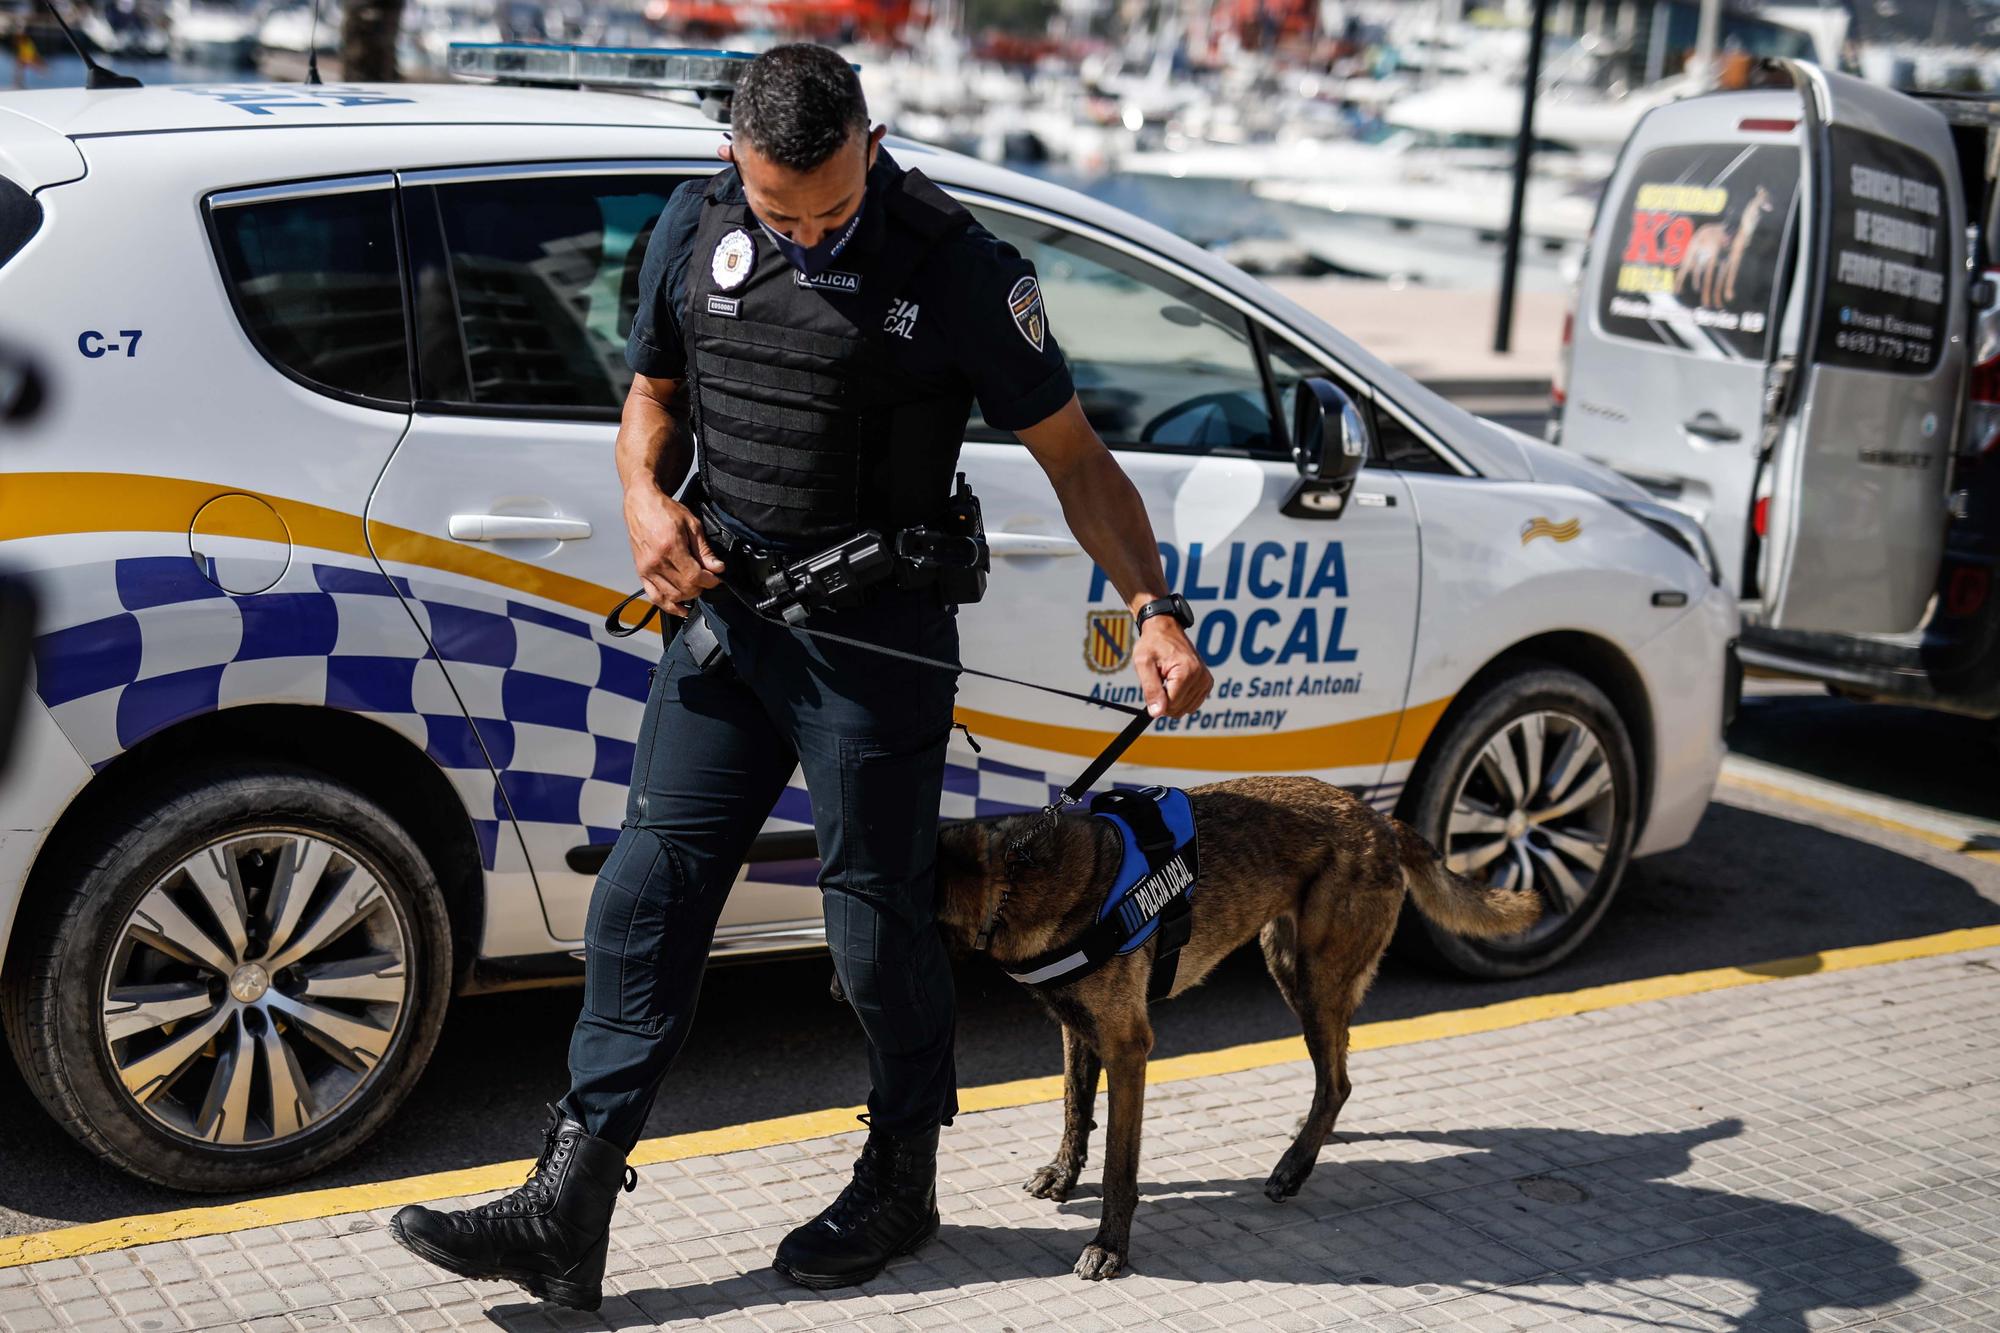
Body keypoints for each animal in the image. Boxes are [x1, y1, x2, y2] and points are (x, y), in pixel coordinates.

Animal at [928, 772, 1536, 1272]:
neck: (1015, 878)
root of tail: (1380, 819)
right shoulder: (1077, 1028)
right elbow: (1076, 1106)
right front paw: (1063, 1173)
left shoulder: (1127, 1047)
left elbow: (1119, 1165)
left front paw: (1110, 1245)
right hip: (1292, 966)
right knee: (1335, 1074)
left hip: (1311, 979)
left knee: (1337, 1081)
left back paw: (1294, 1167)